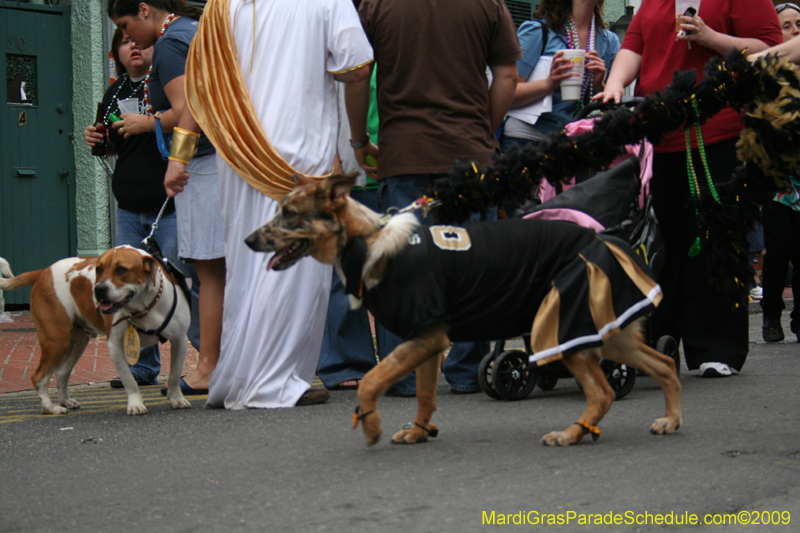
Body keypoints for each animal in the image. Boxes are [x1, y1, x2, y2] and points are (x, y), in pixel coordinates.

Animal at [0, 245, 192, 416]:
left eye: (121, 270)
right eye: (98, 269)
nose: (98, 289)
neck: (144, 307)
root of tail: (43, 271)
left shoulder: (179, 340)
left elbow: (174, 375)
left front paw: (176, 399)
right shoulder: (115, 344)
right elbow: (129, 380)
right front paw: (135, 404)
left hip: (77, 342)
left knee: (61, 372)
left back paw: (65, 401)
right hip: (56, 340)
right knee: (39, 377)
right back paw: (51, 408)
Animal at [245, 175, 680, 444]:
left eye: (289, 215)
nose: (248, 241)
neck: (369, 242)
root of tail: (605, 240)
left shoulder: (426, 338)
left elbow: (370, 380)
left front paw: (371, 425)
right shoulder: (426, 341)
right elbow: (423, 395)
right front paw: (419, 432)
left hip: (559, 331)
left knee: (604, 391)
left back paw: (572, 434)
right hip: (606, 334)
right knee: (664, 364)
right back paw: (671, 419)